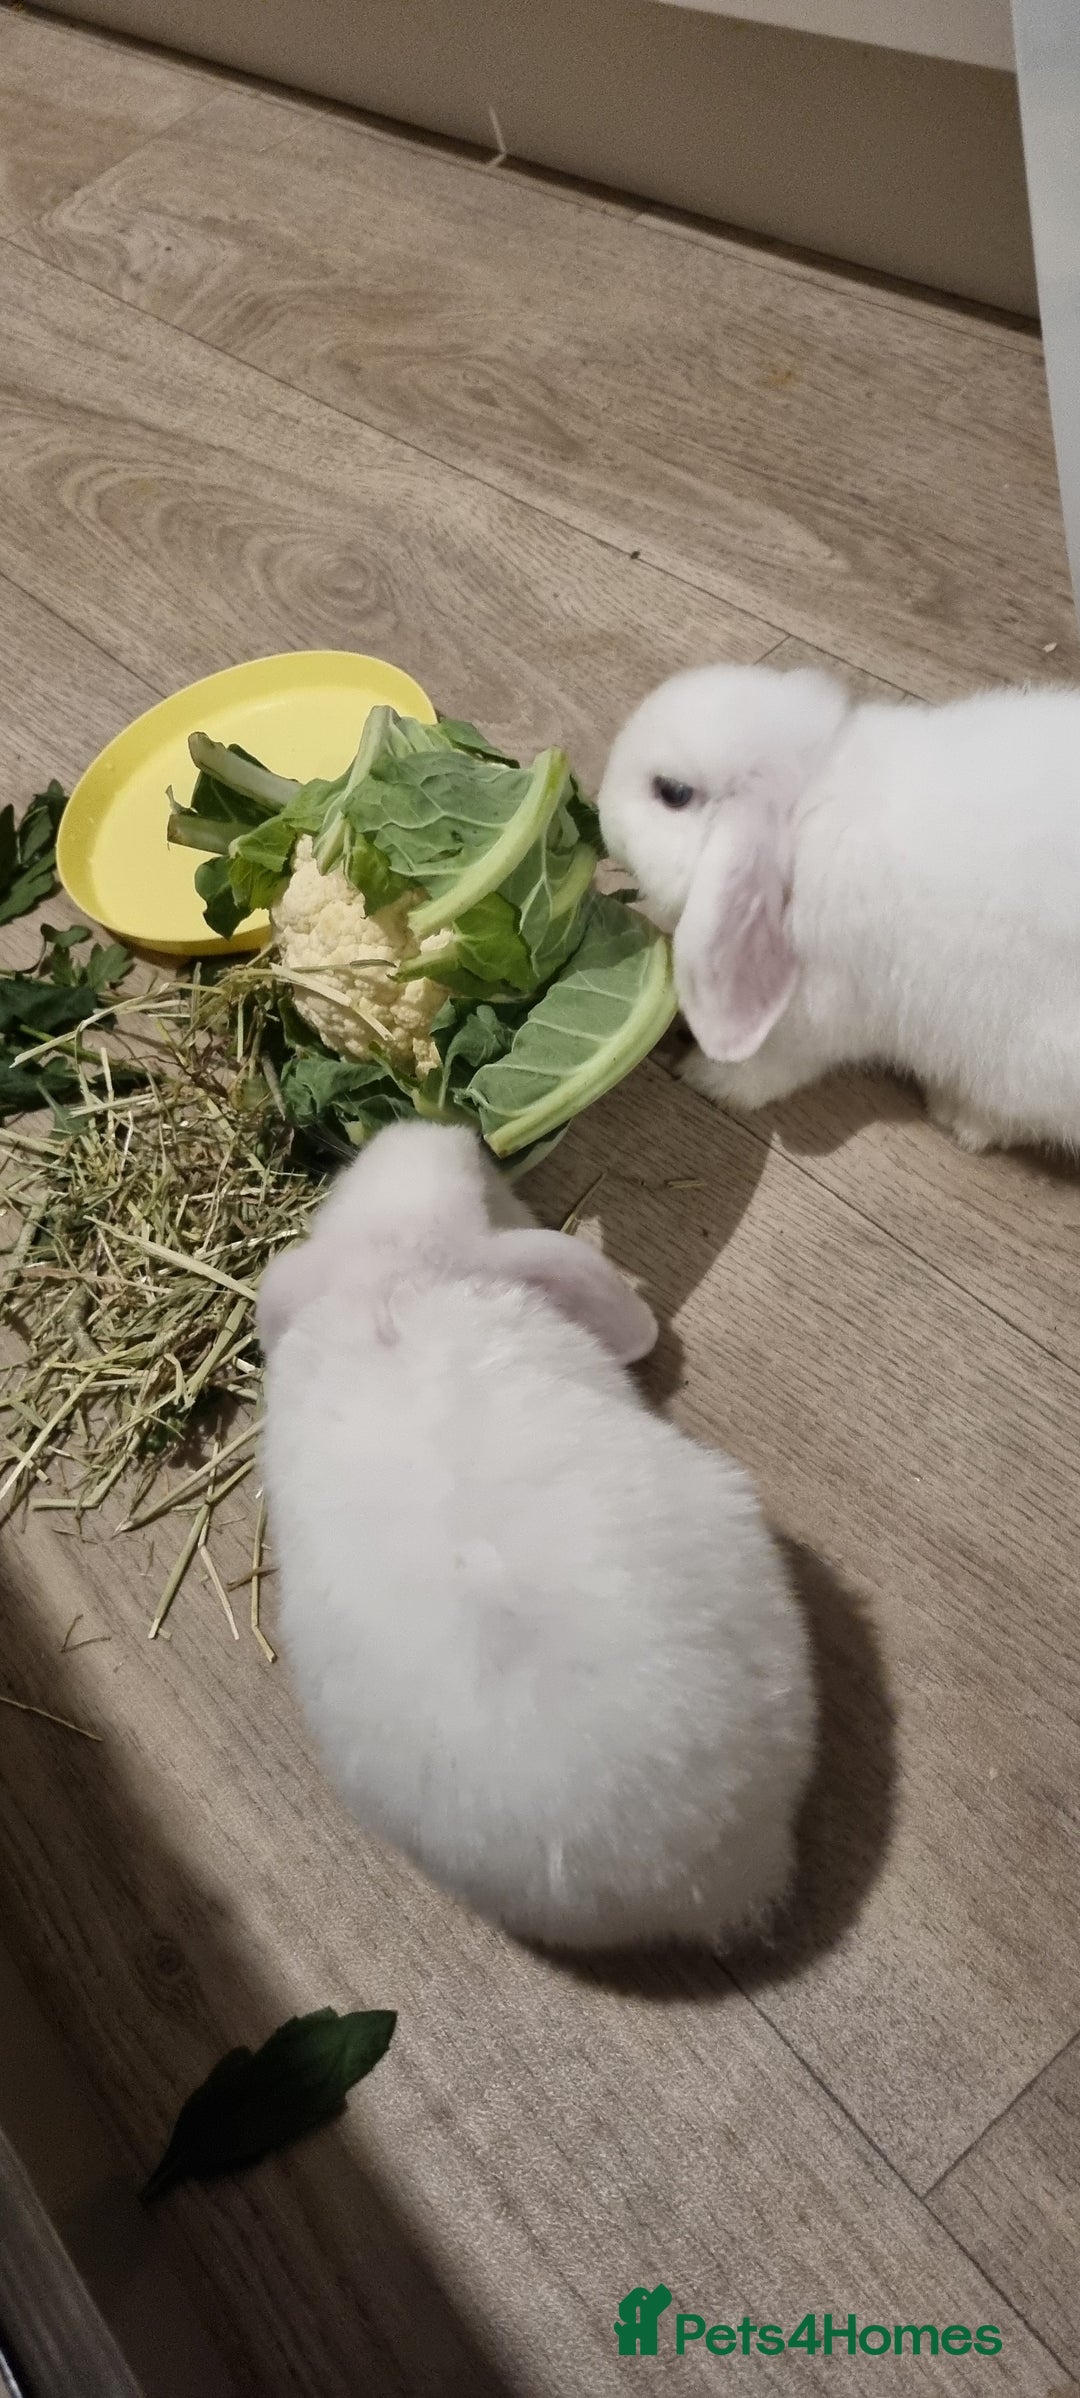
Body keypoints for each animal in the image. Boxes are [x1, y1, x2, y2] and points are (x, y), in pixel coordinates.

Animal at [598, 660, 1080, 1155]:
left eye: (672, 792)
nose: (601, 810)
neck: (803, 810)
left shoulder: (817, 1018)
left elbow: (775, 1068)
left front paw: (710, 1079)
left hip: (1026, 1064)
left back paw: (958, 1117)